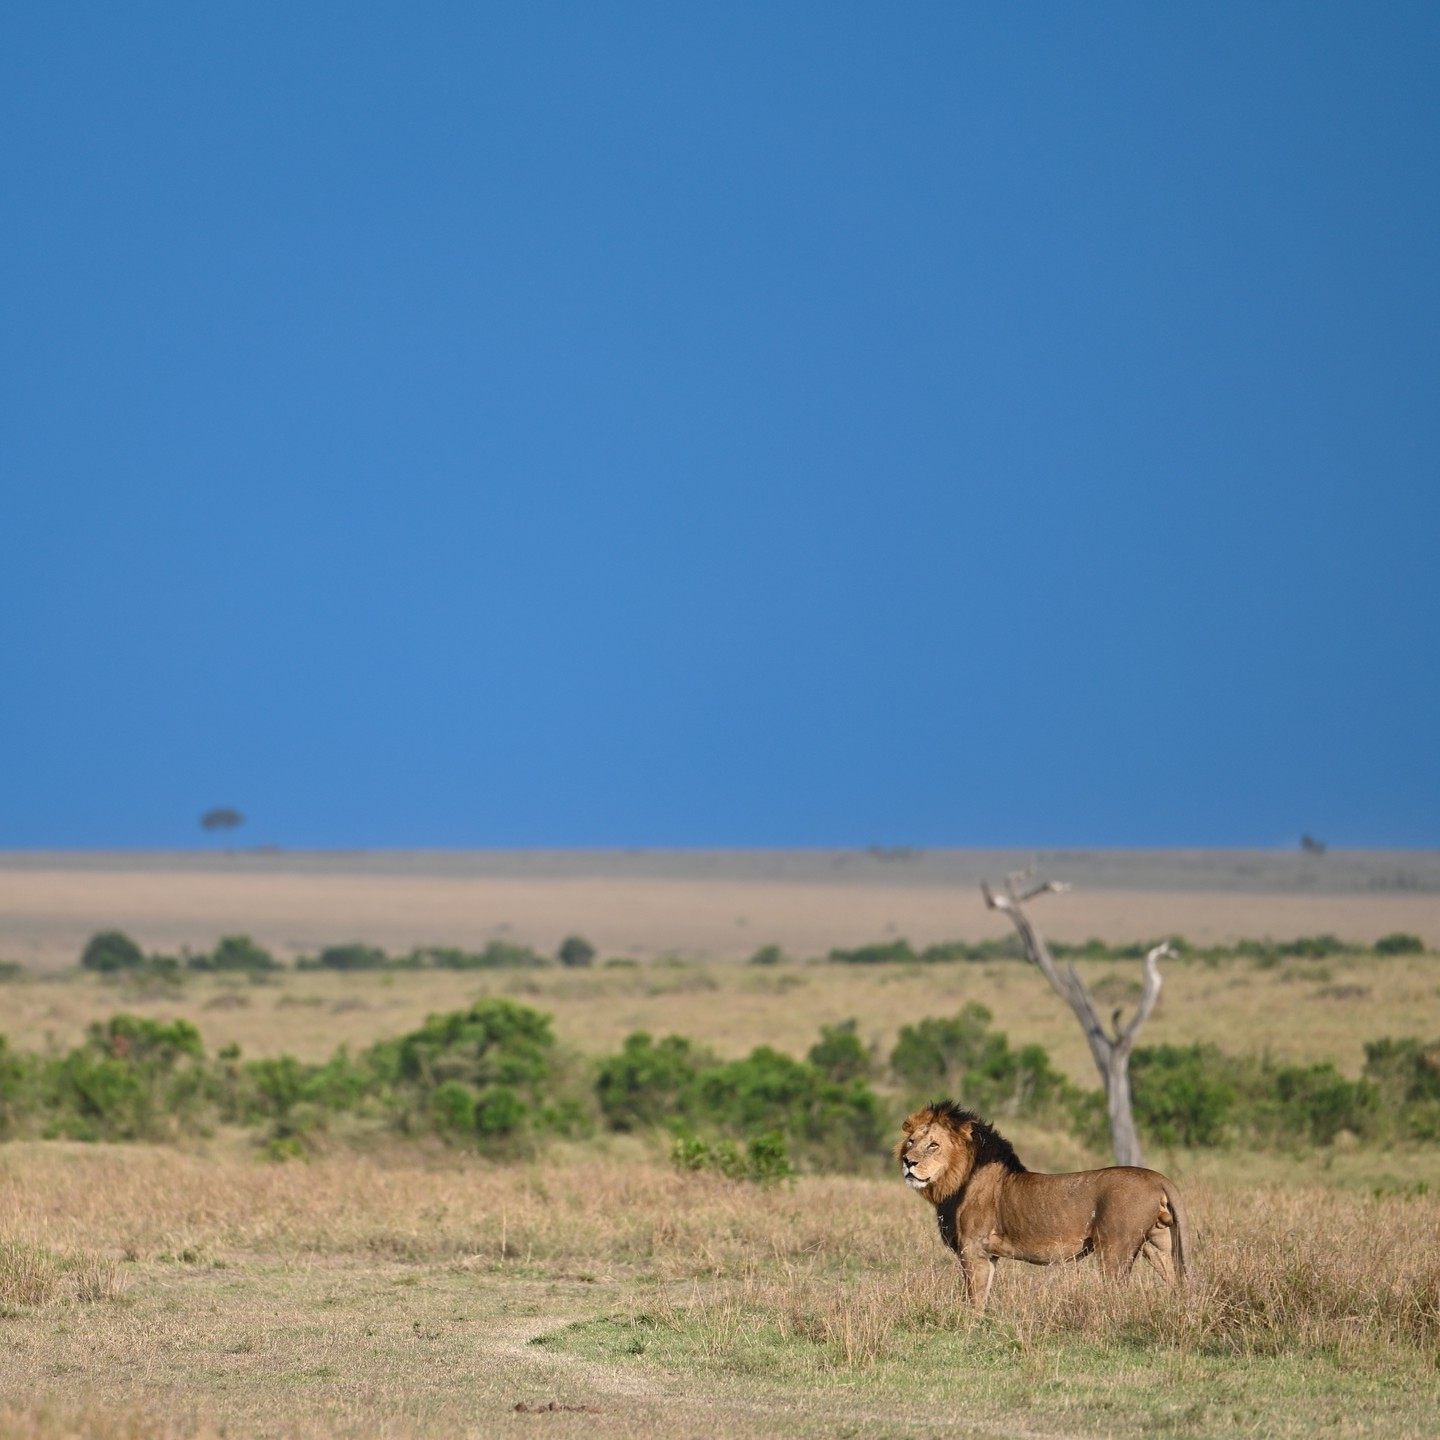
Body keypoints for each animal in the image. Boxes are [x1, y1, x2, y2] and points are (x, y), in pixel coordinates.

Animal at [897, 1101, 1187, 1311]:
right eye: (911, 1142)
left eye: (933, 1145)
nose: (908, 1162)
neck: (956, 1182)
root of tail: (1157, 1177)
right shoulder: (989, 1255)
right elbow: (984, 1293)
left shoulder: (973, 1249)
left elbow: (974, 1299)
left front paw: (970, 1329)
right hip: (1158, 1244)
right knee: (1175, 1282)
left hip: (1115, 1249)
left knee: (1117, 1291)